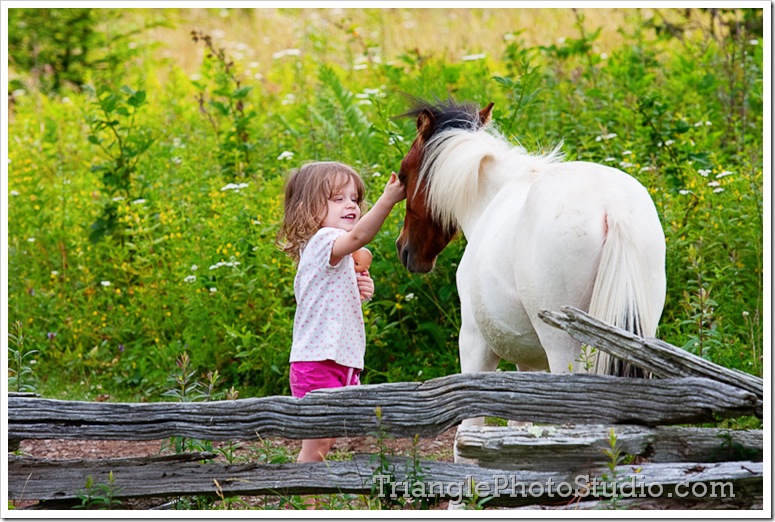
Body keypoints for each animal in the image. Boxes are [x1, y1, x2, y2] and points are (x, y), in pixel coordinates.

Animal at [394, 96, 668, 460]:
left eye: (404, 174)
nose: (404, 250)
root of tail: (613, 208)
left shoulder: (474, 343)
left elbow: (468, 432)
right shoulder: (528, 359)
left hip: (566, 351)